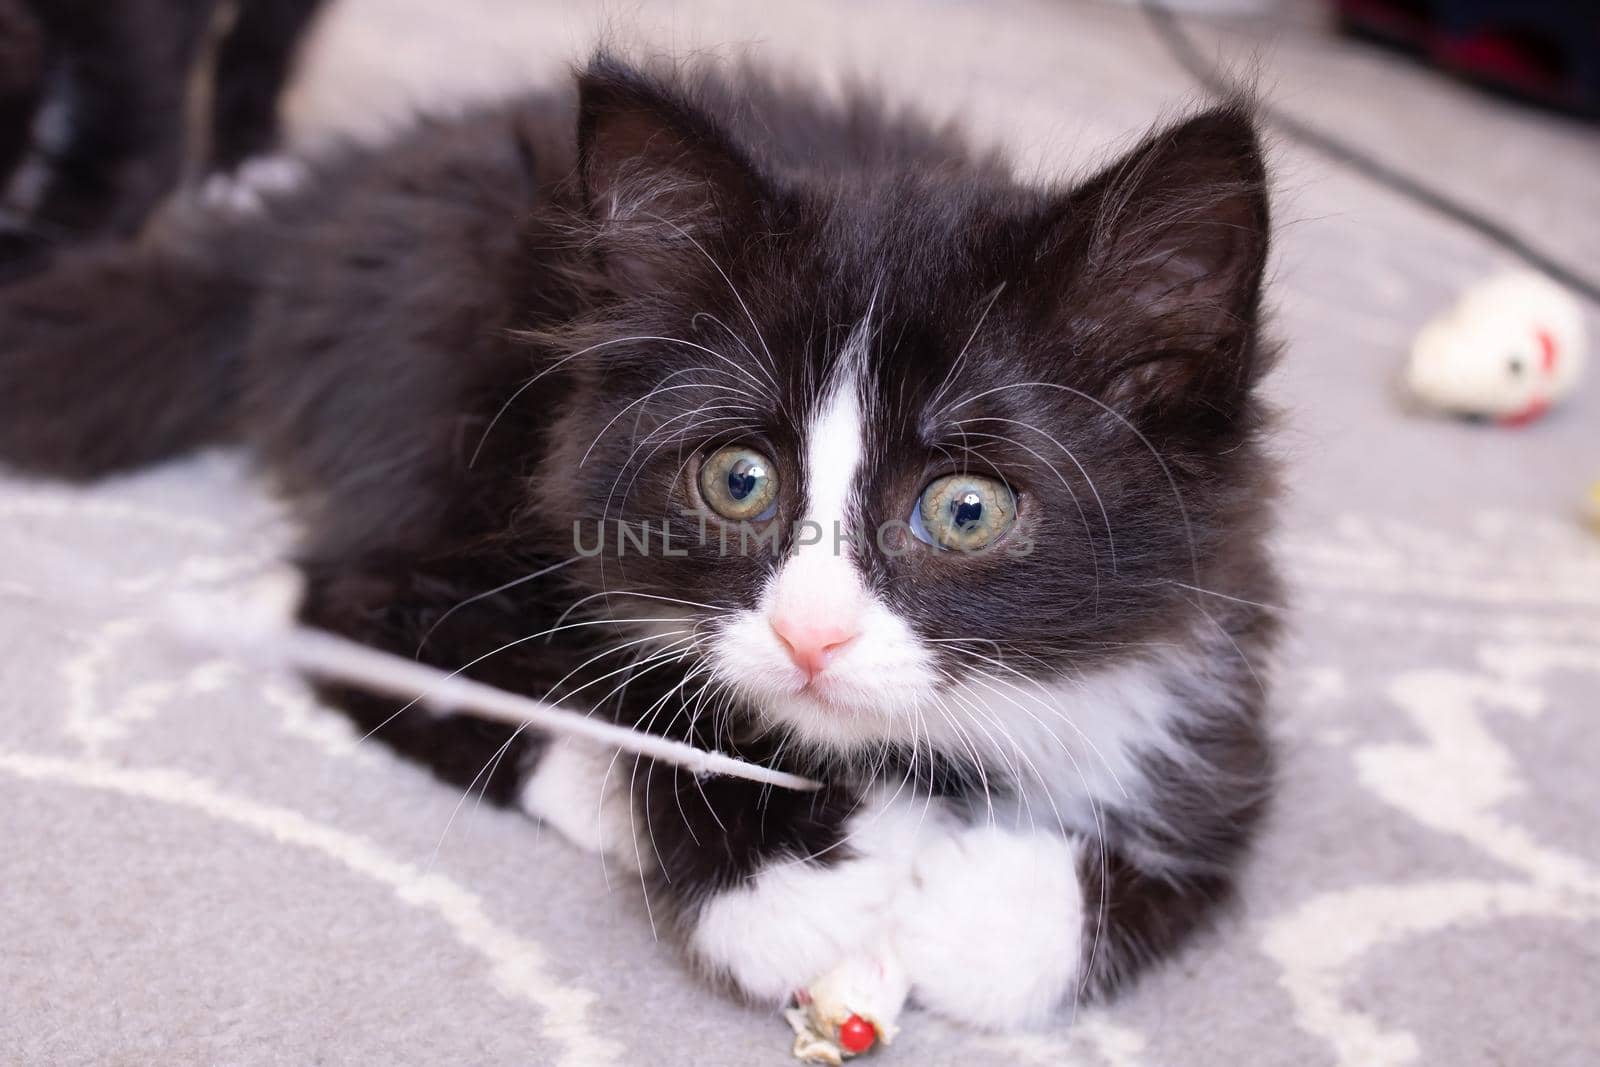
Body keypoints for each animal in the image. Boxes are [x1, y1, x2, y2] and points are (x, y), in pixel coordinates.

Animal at [0, 56, 1273, 1023]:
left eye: (966, 509)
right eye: (738, 479)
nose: (810, 636)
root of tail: (337, 203)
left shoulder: (1219, 615)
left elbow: (1212, 837)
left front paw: (979, 905)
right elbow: (654, 694)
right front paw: (793, 879)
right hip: (449, 395)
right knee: (348, 606)